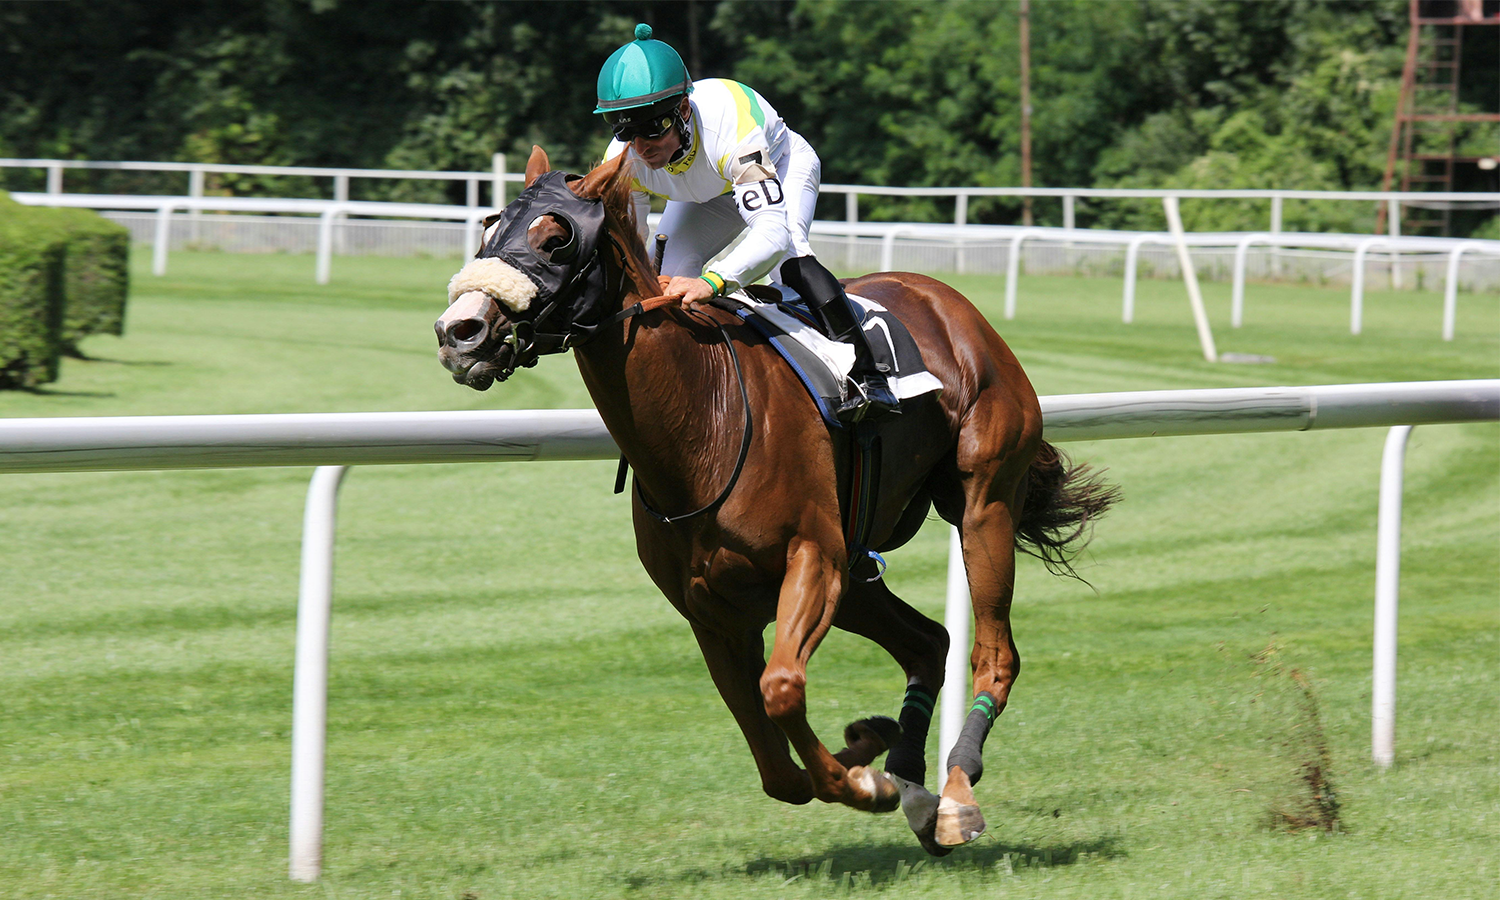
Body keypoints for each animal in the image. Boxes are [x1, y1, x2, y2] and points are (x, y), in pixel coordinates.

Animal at [434, 146, 1118, 855]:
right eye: (488, 229)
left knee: (994, 653)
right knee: (929, 642)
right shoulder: (712, 611)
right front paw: (870, 752)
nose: (460, 332)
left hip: (982, 503)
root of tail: (952, 303)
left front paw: (865, 780)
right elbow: (773, 762)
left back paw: (954, 794)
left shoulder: (812, 559)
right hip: (858, 569)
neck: (701, 423)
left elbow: (782, 689)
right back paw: (911, 782)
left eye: (556, 239)